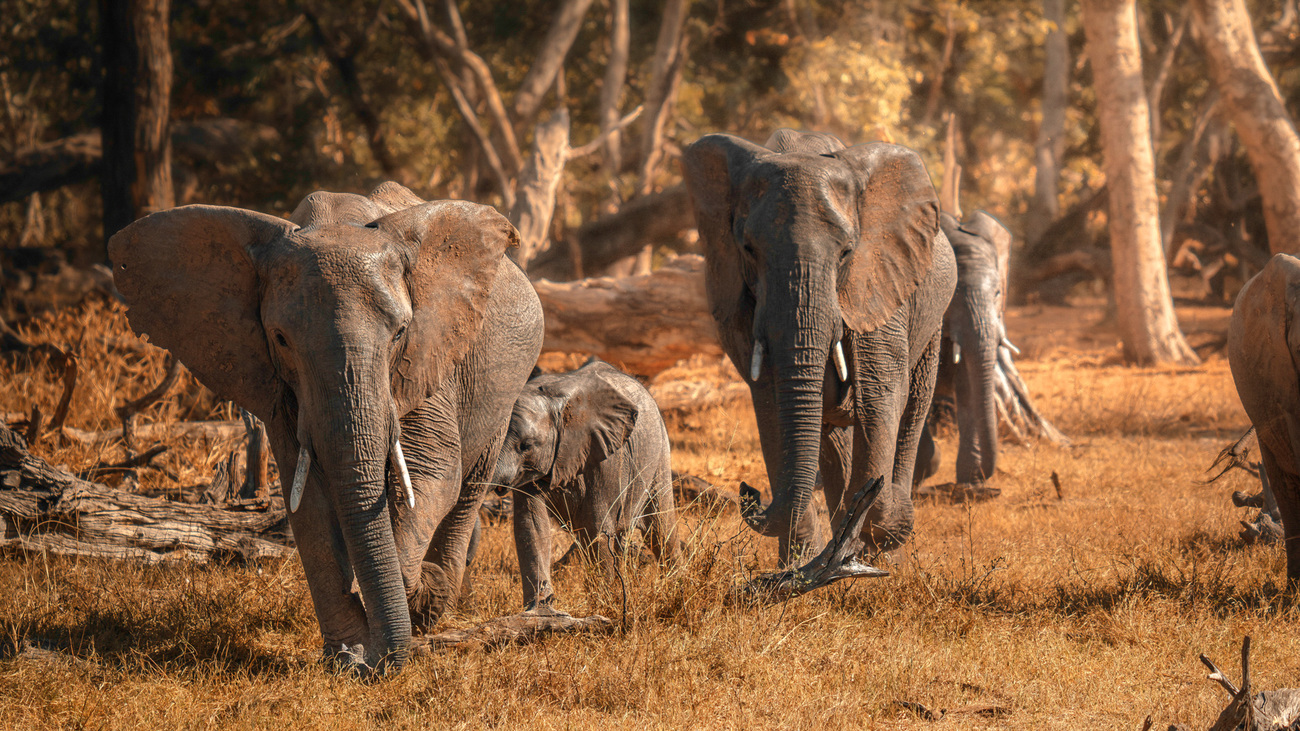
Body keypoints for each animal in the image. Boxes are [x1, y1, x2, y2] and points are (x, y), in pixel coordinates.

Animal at [104, 182, 543, 671]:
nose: (369, 662)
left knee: (470, 485)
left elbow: (430, 473)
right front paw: (346, 653)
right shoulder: (278, 386)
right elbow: (308, 499)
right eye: (280, 338)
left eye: (400, 332)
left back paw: (434, 595)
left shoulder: (427, 358)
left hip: (503, 385)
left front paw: (404, 602)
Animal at [488, 358, 681, 608]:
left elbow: (596, 527)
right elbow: (531, 524)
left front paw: (605, 605)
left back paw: (678, 586)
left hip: (659, 454)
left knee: (662, 529)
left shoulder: (607, 457)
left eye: (526, 445)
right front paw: (538, 607)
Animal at [686, 129, 961, 564]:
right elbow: (770, 403)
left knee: (911, 409)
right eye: (748, 249)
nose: (749, 491)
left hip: (930, 315)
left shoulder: (877, 283)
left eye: (847, 251)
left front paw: (886, 522)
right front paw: (796, 568)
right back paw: (841, 553)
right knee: (831, 438)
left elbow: (880, 396)